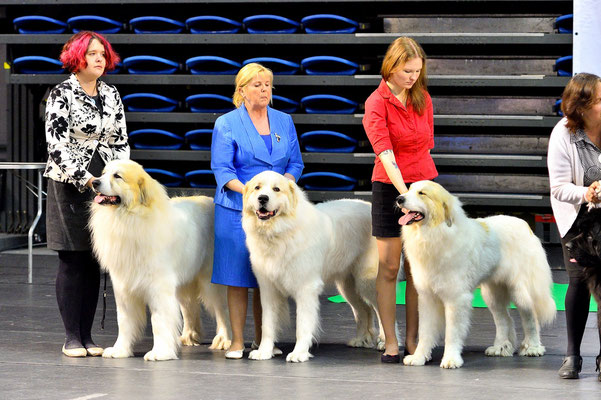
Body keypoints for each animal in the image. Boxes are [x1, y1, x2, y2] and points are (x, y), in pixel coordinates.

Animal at [88, 160, 230, 362]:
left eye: (117, 176)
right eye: (103, 173)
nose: (94, 182)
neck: (130, 218)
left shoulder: (159, 288)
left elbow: (159, 321)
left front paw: (160, 352)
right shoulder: (123, 287)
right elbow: (124, 321)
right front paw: (120, 350)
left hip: (211, 283)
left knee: (223, 309)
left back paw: (225, 340)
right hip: (183, 284)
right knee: (189, 308)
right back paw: (189, 336)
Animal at [240, 171, 384, 362]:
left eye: (276, 189)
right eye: (257, 187)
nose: (263, 198)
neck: (280, 232)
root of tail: (369, 206)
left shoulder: (306, 288)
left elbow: (302, 324)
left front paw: (299, 353)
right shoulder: (268, 289)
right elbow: (267, 324)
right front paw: (264, 351)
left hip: (367, 281)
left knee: (381, 310)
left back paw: (385, 343)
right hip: (348, 286)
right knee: (363, 311)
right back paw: (361, 339)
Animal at [396, 181, 556, 368]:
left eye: (422, 193)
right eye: (409, 189)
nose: (399, 198)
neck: (434, 233)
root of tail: (526, 226)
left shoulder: (456, 298)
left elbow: (452, 333)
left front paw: (451, 359)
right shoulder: (427, 297)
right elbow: (425, 331)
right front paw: (419, 357)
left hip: (522, 291)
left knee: (531, 318)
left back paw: (533, 348)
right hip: (492, 294)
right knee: (504, 319)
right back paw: (500, 347)